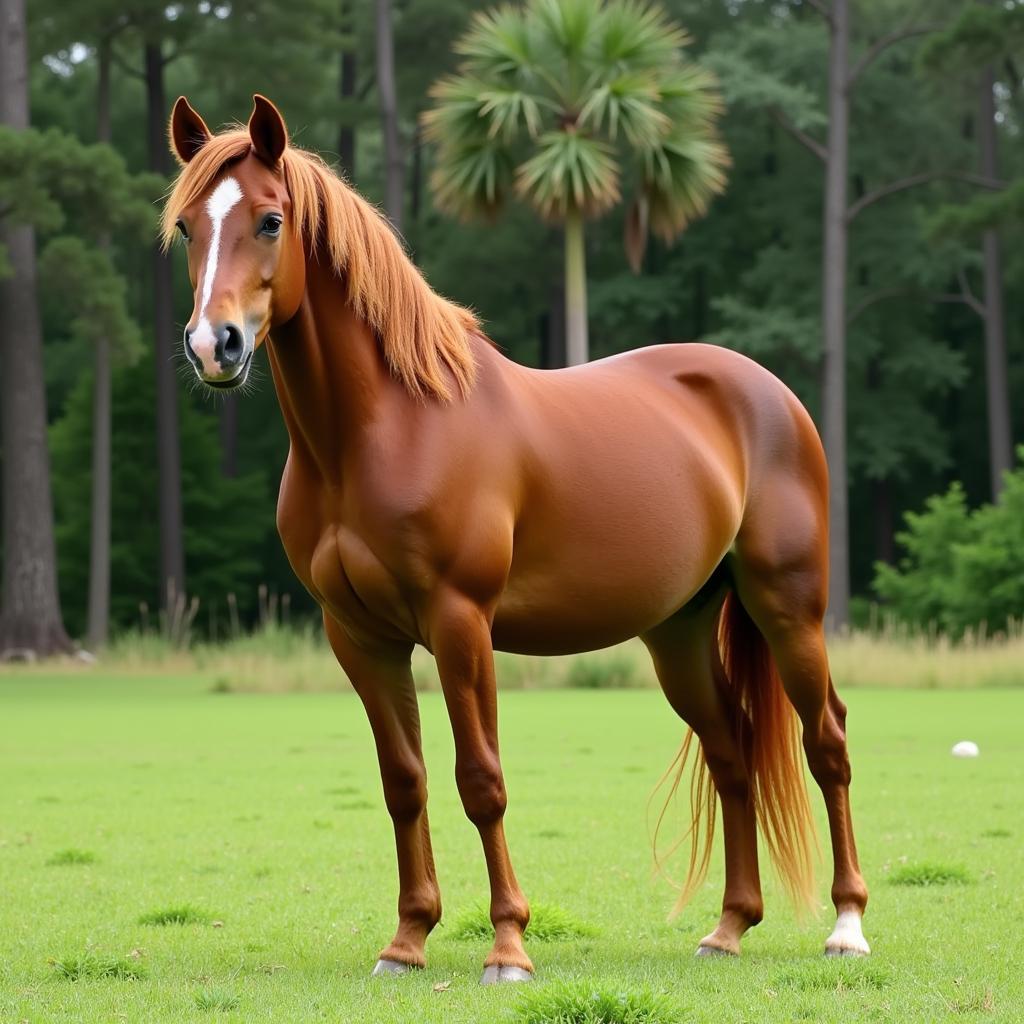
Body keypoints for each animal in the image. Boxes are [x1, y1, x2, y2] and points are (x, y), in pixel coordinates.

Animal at [163, 96, 868, 983]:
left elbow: (481, 779)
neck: (385, 430)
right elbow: (404, 781)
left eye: (269, 219)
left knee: (826, 742)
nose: (212, 346)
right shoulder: (358, 635)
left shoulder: (460, 623)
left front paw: (507, 947)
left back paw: (847, 926)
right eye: (187, 227)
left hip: (787, 610)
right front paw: (407, 941)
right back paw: (729, 927)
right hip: (678, 633)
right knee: (732, 754)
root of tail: (769, 392)